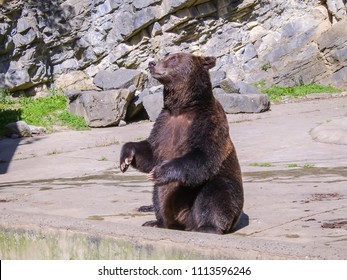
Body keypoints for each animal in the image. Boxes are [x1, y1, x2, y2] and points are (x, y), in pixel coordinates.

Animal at [119, 52, 245, 234]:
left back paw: (208, 227)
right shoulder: (163, 125)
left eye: (173, 58)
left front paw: (159, 172)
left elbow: (204, 156)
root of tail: (186, 222)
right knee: (158, 196)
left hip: (222, 189)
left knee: (214, 194)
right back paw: (157, 222)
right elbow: (150, 152)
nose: (152, 63)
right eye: (166, 55)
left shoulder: (207, 122)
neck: (181, 108)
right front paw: (125, 159)